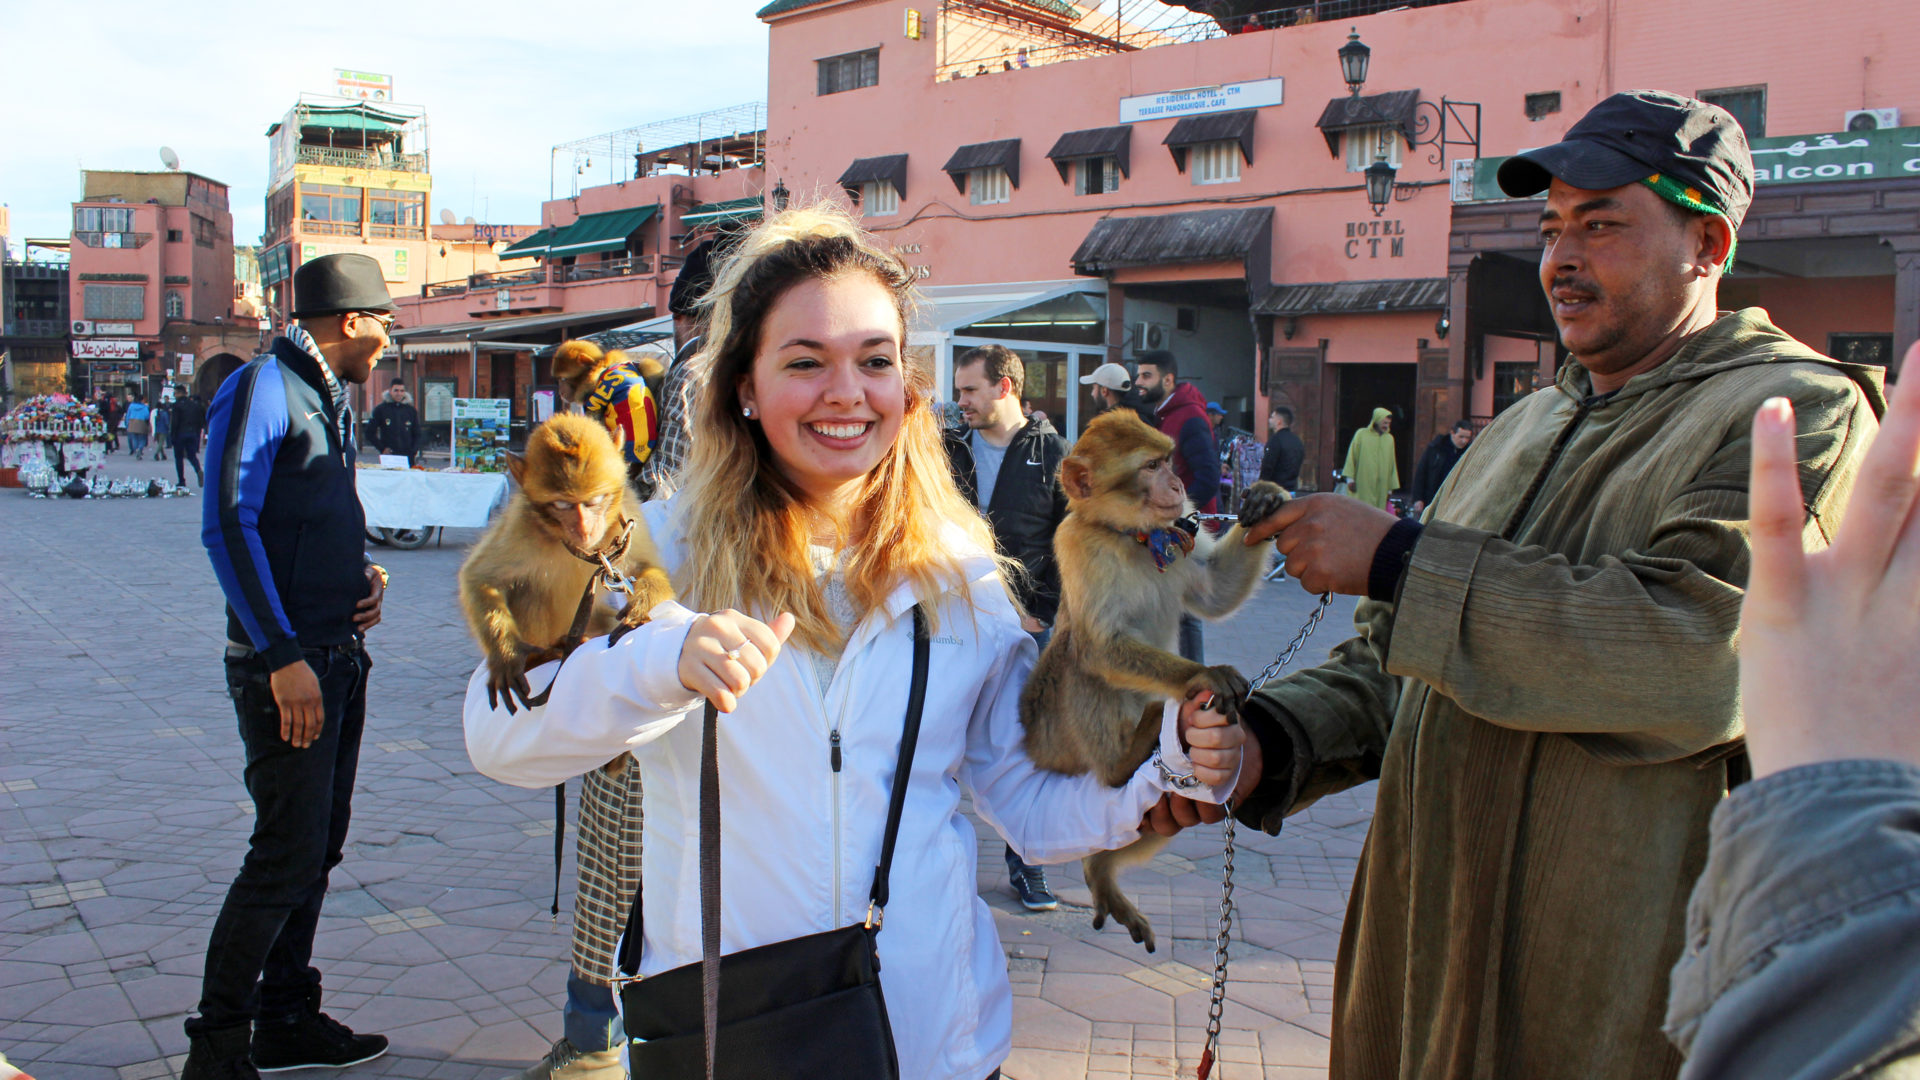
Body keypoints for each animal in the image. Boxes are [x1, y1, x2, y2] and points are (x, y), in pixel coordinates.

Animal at [456, 417, 675, 711]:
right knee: (529, 591)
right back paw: (550, 653)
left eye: (594, 501)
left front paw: (641, 603)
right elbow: (479, 577)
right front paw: (507, 656)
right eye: (562, 504)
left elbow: (645, 567)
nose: (583, 528)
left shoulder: (628, 514)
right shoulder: (522, 525)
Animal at [1013, 407, 1282, 945]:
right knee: (1080, 660)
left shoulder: (1181, 529)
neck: (1131, 536)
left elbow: (1215, 591)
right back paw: (1120, 764)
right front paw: (1205, 675)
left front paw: (1267, 499)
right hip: (1053, 738)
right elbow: (1100, 647)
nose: (1178, 483)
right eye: (1152, 466)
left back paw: (1100, 868)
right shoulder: (1078, 544)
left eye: (1169, 460)